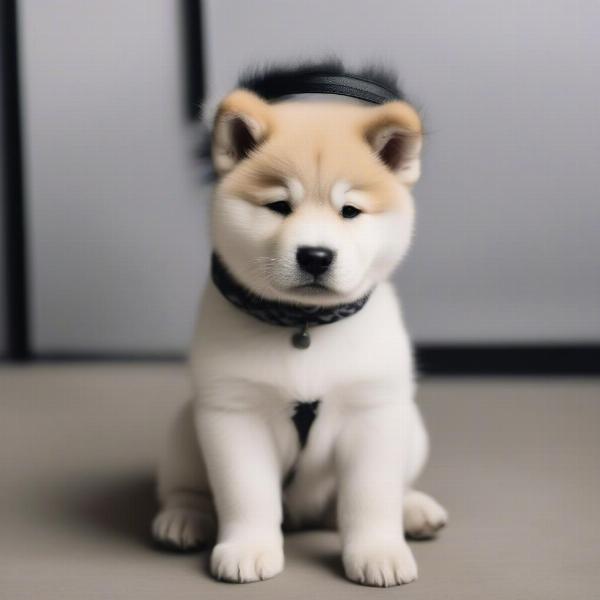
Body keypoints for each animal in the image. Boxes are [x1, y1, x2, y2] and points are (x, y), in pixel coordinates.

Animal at [152, 63, 448, 588]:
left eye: (349, 211)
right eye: (279, 206)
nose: (315, 255)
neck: (304, 327)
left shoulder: (374, 413)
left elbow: (371, 497)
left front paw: (378, 550)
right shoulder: (234, 414)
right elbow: (247, 495)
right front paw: (248, 547)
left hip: (411, 427)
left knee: (387, 490)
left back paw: (414, 509)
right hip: (185, 430)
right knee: (184, 488)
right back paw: (183, 518)